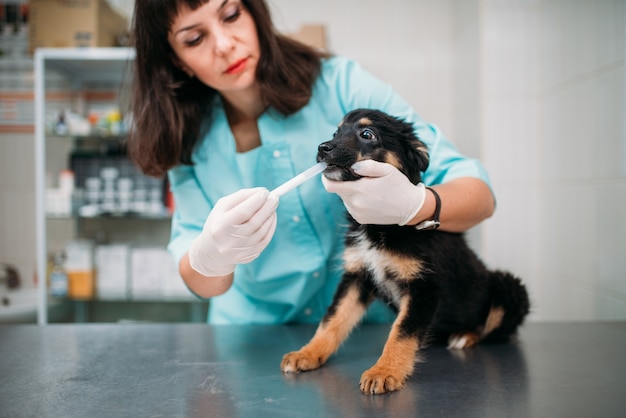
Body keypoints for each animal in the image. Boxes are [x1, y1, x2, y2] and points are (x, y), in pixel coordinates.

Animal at [280, 108, 528, 396]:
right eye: (336, 132)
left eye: (367, 134)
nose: (322, 148)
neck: (380, 227)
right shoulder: (357, 276)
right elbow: (332, 319)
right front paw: (307, 353)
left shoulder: (425, 286)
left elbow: (402, 332)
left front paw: (384, 371)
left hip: (508, 287)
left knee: (493, 330)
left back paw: (464, 335)